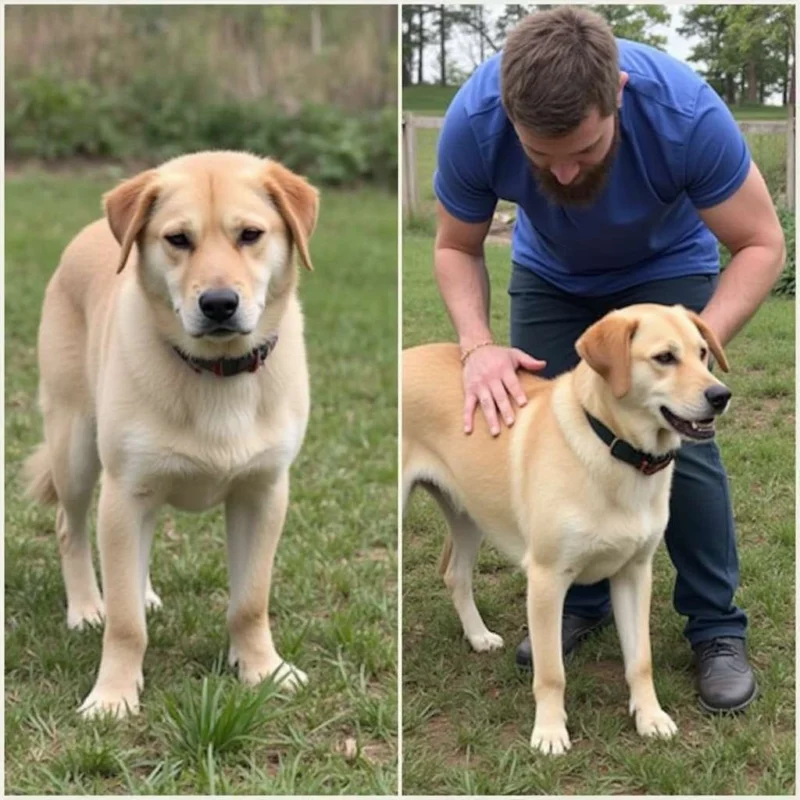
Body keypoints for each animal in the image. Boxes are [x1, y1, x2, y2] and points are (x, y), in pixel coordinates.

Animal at [22, 150, 316, 720]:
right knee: (70, 529)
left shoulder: (263, 493)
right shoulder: (124, 493)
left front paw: (261, 669)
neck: (216, 374)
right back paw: (87, 606)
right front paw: (113, 694)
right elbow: (125, 624)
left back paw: (140, 592)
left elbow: (251, 601)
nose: (220, 303)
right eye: (178, 239)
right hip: (76, 450)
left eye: (251, 234)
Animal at [404, 304, 736, 752]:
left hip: (469, 513)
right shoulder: (546, 578)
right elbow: (551, 672)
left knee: (456, 575)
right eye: (665, 357)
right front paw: (549, 731)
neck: (616, 449)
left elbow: (641, 661)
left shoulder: (634, 574)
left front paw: (650, 717)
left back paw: (478, 637)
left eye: (702, 353)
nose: (720, 396)